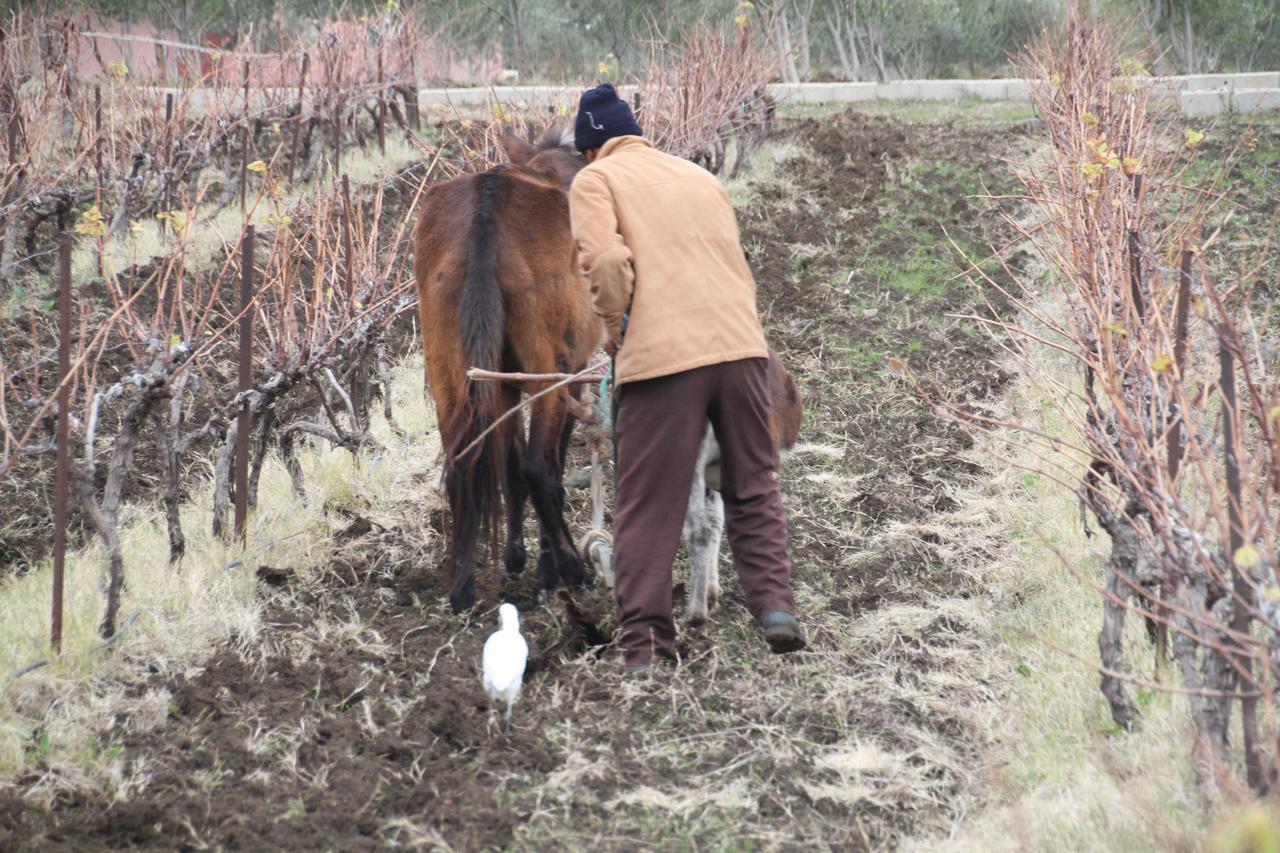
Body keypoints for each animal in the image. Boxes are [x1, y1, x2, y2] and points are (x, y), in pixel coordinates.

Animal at [417, 122, 601, 607]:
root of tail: (486, 222)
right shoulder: (570, 376)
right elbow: (545, 466)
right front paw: (545, 566)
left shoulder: (502, 384)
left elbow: (510, 464)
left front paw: (516, 555)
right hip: (549, 373)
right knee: (539, 469)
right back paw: (573, 568)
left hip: (449, 378)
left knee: (464, 464)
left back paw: (462, 587)